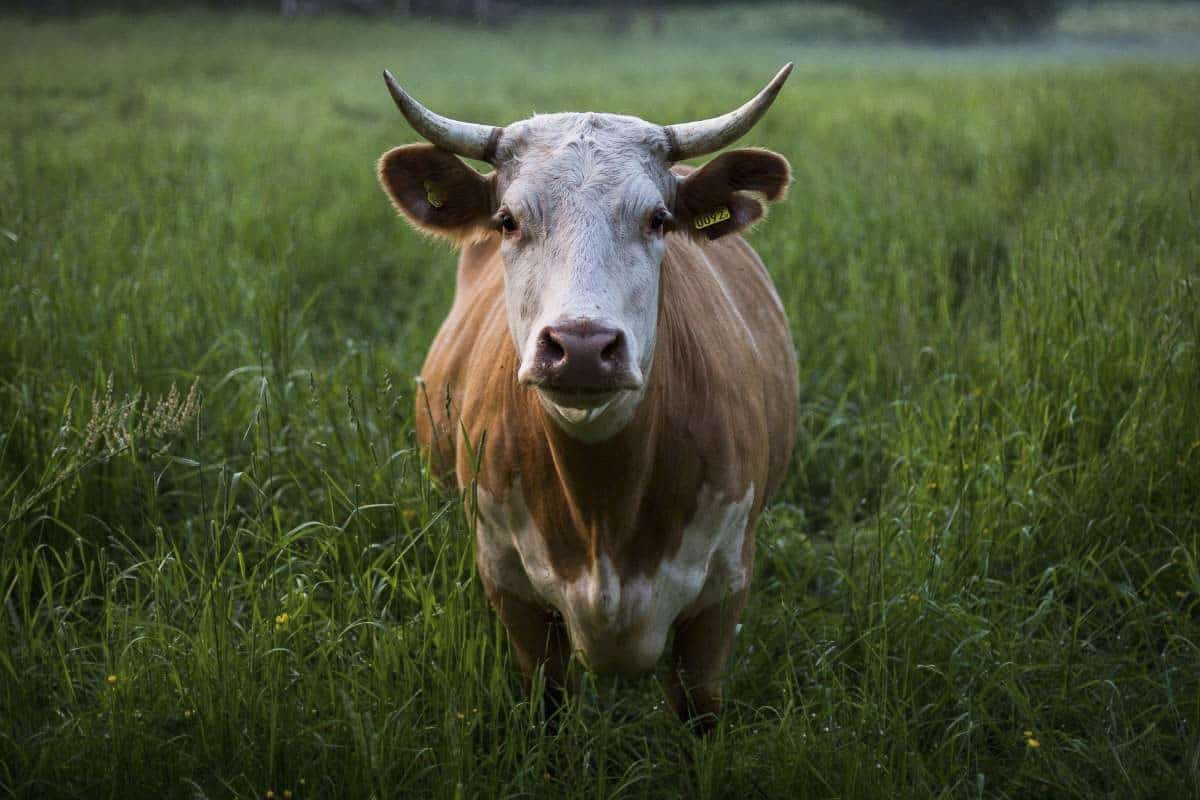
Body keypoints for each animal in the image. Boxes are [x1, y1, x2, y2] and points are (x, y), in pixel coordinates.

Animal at [376, 65, 796, 734]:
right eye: (507, 220)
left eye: (658, 219)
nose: (580, 346)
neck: (605, 511)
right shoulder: (512, 589)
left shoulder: (723, 595)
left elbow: (698, 712)